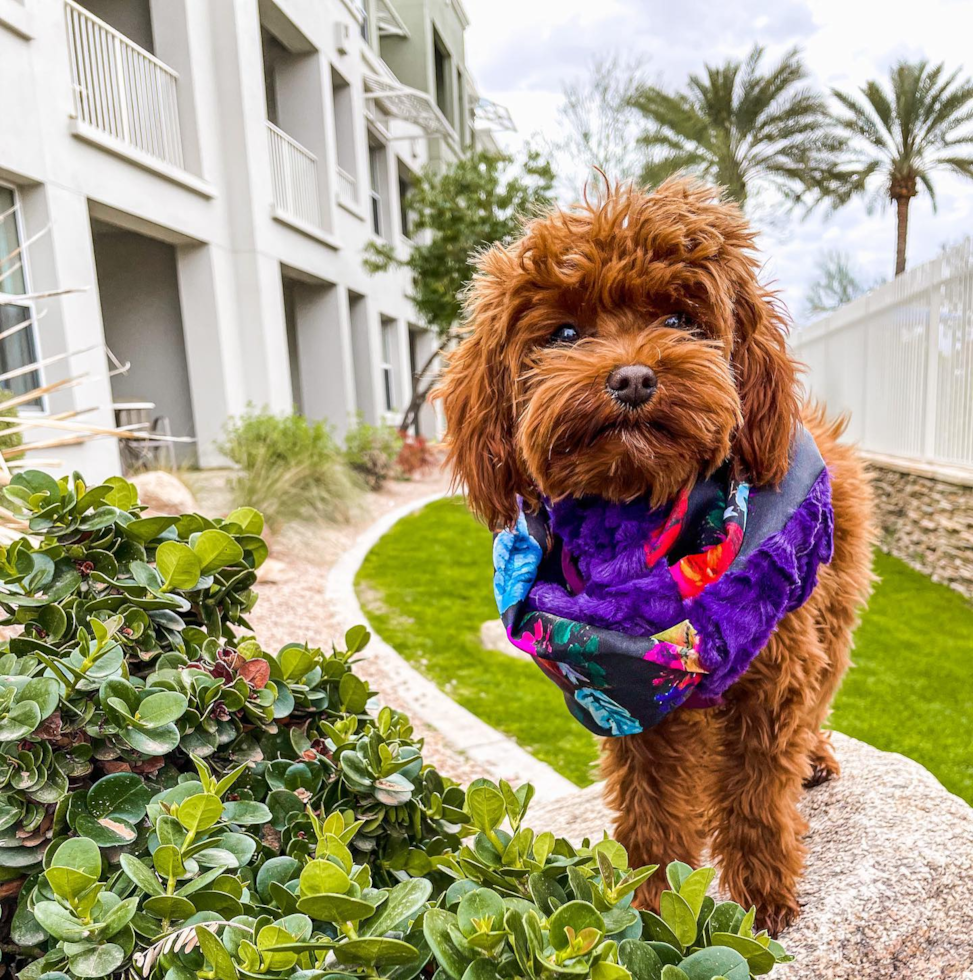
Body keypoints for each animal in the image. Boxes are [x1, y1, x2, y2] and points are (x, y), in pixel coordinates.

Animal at [434, 180, 872, 936]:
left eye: (679, 318)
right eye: (565, 333)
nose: (634, 378)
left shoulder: (771, 673)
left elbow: (757, 793)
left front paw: (762, 901)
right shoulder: (624, 705)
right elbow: (651, 806)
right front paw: (652, 904)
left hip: (831, 613)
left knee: (819, 697)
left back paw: (813, 755)